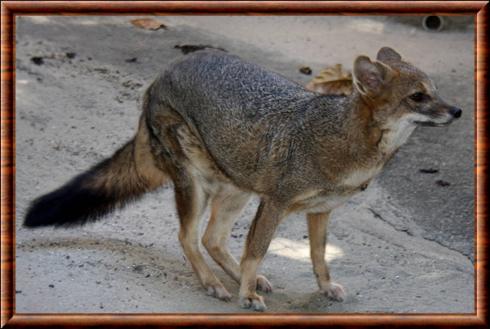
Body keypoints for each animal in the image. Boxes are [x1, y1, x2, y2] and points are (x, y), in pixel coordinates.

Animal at [24, 46, 462, 310]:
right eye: (418, 97)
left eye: (436, 91)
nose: (457, 111)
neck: (343, 140)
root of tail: (163, 74)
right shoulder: (276, 203)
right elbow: (257, 251)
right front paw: (246, 295)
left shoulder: (320, 211)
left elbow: (318, 256)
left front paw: (322, 287)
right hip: (196, 187)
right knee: (189, 238)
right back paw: (214, 284)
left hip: (237, 190)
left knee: (212, 239)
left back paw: (233, 279)